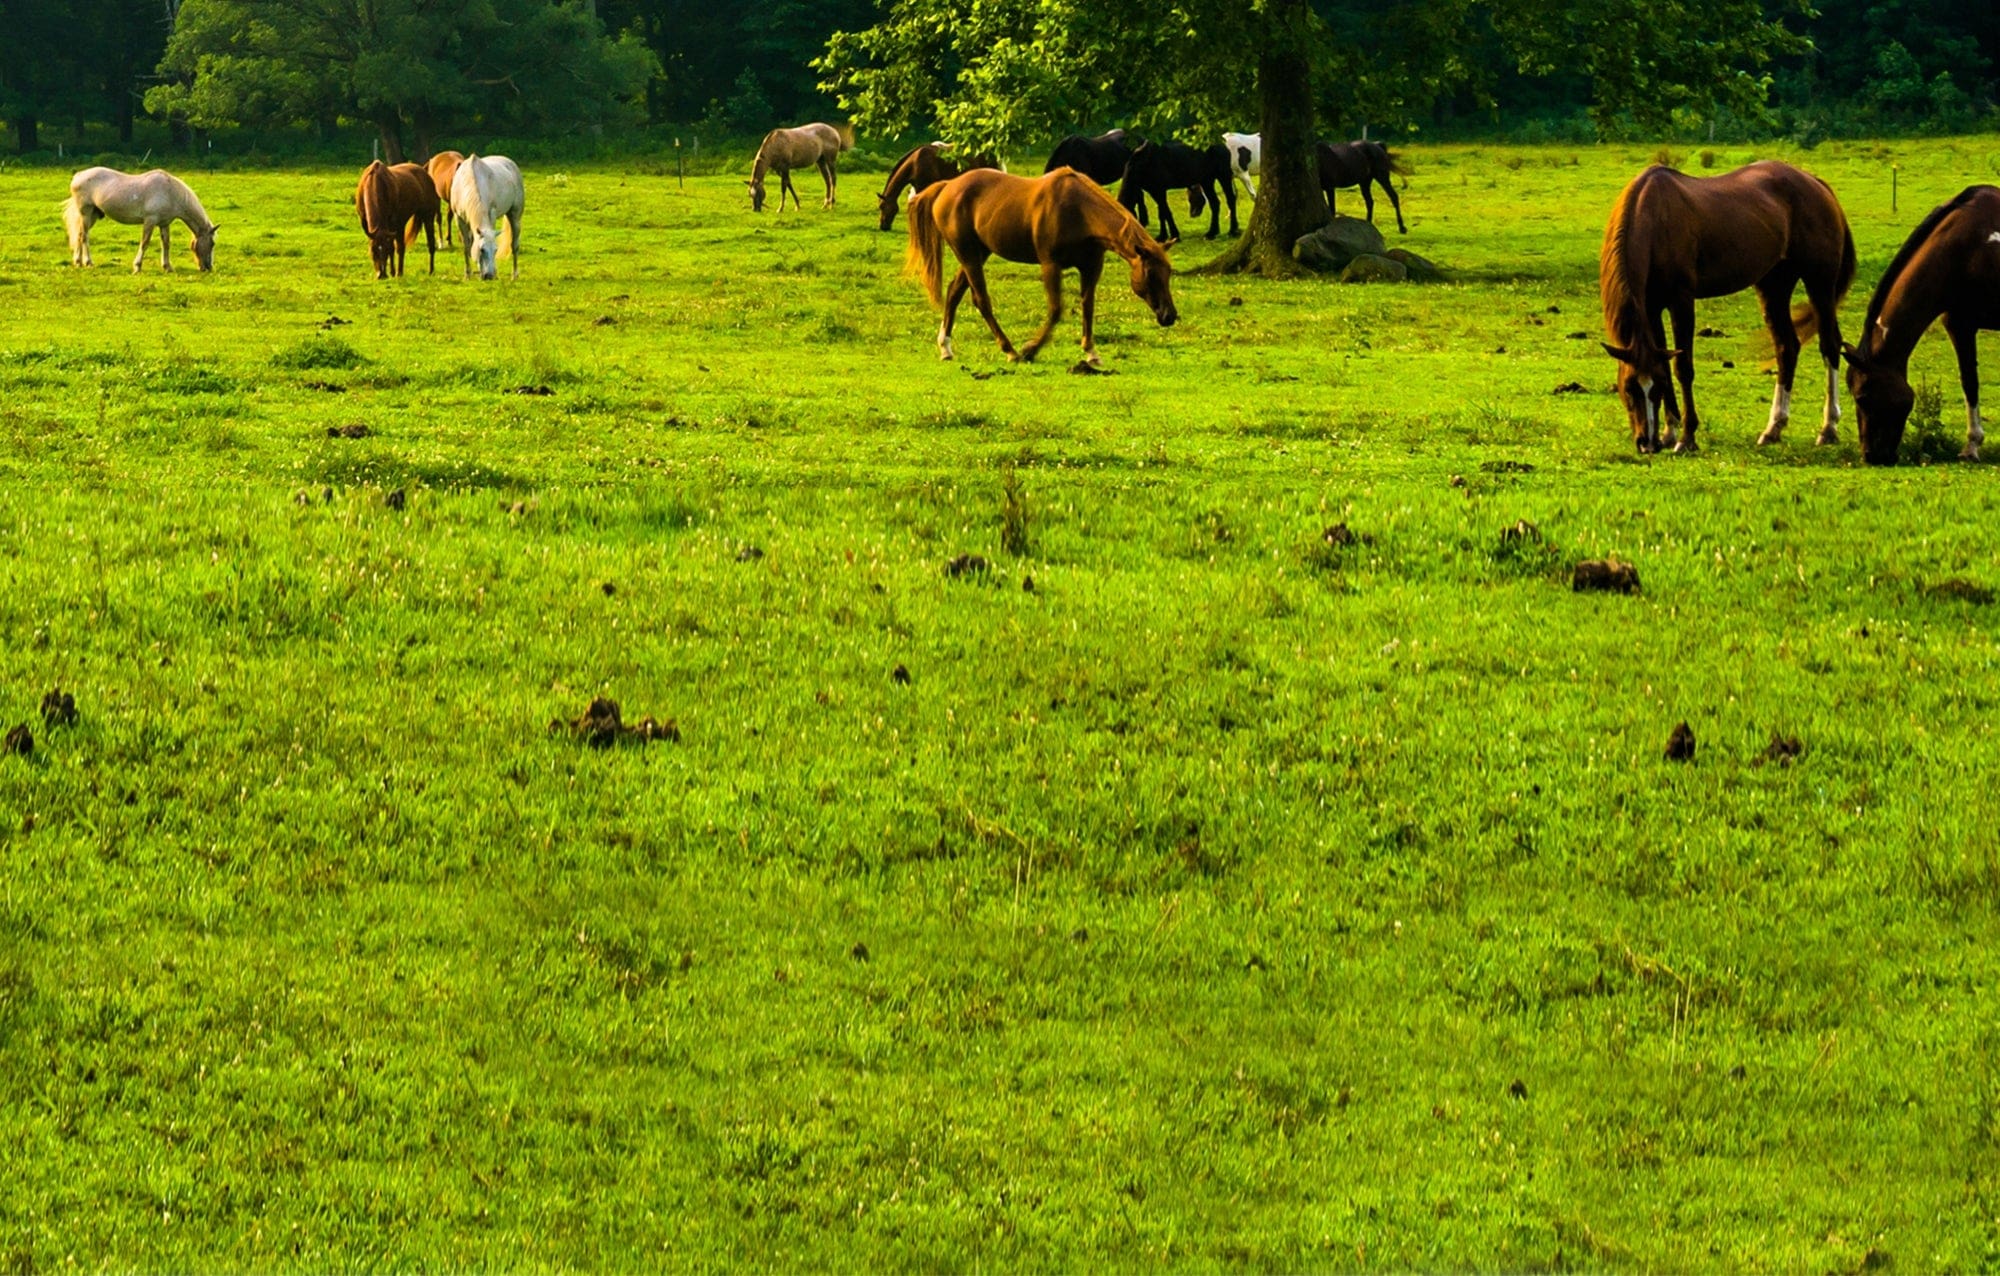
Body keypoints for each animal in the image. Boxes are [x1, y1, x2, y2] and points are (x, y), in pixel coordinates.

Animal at [64, 168, 219, 272]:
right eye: (212, 243)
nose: (208, 268)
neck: (171, 192)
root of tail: (78, 175)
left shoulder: (164, 224)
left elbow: (166, 244)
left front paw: (167, 267)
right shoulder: (150, 221)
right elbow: (145, 243)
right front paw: (137, 267)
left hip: (93, 215)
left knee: (79, 235)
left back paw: (78, 262)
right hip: (86, 213)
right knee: (84, 237)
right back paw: (88, 262)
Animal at [904, 168, 1168, 368]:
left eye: (1168, 273)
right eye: (1151, 274)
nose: (1169, 315)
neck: (1079, 211)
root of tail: (947, 186)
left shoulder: (1091, 266)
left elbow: (1088, 307)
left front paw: (1091, 352)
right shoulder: (1050, 264)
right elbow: (1056, 310)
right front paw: (1030, 350)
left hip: (978, 253)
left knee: (954, 292)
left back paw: (946, 348)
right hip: (968, 254)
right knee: (981, 300)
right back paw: (1010, 350)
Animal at [1592, 162, 1856, 456]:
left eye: (1652, 388)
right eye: (1628, 387)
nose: (1647, 443)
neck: (1655, 217)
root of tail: (1816, 183)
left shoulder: (1681, 301)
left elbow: (1682, 368)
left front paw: (1687, 437)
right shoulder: (1651, 308)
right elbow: (1666, 363)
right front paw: (1669, 432)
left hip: (1819, 283)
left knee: (1830, 346)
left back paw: (1828, 428)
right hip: (1774, 285)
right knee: (1787, 348)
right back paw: (1773, 429)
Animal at [1840, 188, 2000, 468]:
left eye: (1862, 397)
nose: (1871, 456)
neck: (1972, 247)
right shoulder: (1959, 324)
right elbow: (1969, 382)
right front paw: (1971, 447)